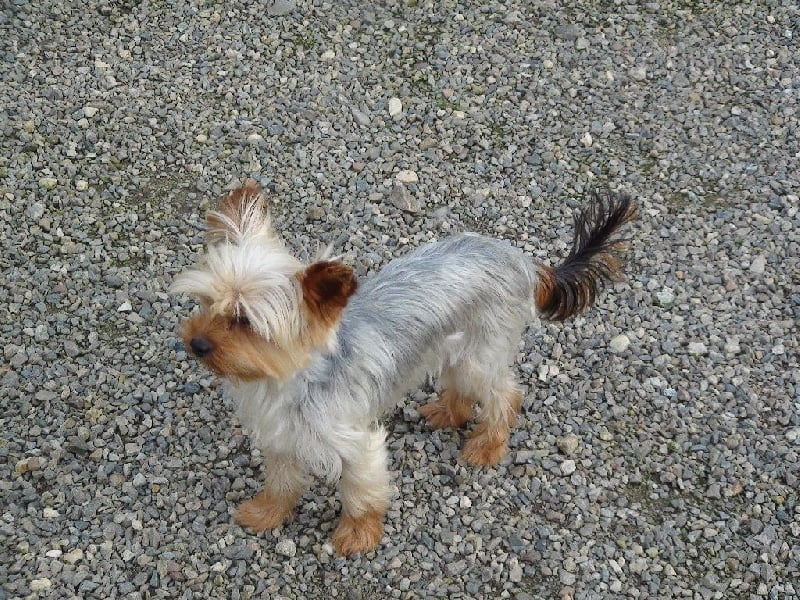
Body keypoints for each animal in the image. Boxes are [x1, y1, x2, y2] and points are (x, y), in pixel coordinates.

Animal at [171, 179, 636, 556]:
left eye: (244, 321)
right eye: (206, 303)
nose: (195, 343)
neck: (287, 379)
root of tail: (522, 260)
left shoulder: (356, 442)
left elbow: (361, 492)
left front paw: (358, 537)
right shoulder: (282, 437)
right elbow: (281, 482)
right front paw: (267, 514)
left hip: (478, 352)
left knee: (505, 393)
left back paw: (487, 446)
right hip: (453, 349)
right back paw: (445, 413)